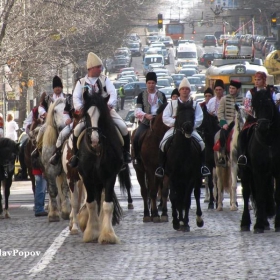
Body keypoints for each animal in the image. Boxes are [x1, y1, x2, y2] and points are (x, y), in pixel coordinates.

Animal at [75, 91, 130, 243]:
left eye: (102, 115)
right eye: (87, 115)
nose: (94, 139)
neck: (97, 151)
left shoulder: (110, 176)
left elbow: (107, 205)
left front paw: (107, 235)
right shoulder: (87, 177)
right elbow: (91, 203)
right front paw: (91, 233)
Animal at [162, 99, 203, 231]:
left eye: (193, 115)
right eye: (179, 115)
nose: (188, 128)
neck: (182, 151)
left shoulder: (191, 177)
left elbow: (186, 199)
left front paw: (185, 222)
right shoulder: (171, 176)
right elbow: (174, 197)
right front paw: (176, 221)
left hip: (196, 176)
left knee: (195, 194)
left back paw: (198, 219)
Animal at [238, 88, 280, 233]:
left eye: (268, 104)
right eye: (254, 106)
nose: (262, 127)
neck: (268, 141)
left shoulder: (276, 172)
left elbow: (275, 195)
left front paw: (277, 224)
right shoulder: (258, 171)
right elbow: (260, 195)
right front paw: (258, 225)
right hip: (245, 171)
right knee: (246, 193)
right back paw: (245, 223)